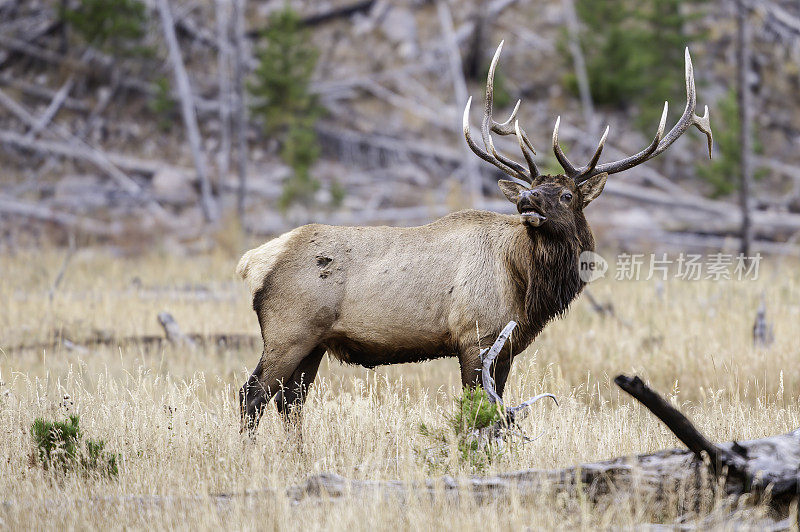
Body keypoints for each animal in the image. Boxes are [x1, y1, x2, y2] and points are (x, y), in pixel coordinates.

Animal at [238, 42, 712, 432]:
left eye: (565, 194)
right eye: (534, 188)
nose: (527, 200)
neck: (526, 286)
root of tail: (253, 261)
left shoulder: (508, 347)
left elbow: (498, 410)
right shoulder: (475, 337)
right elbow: (478, 412)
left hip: (314, 344)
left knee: (290, 402)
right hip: (289, 330)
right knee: (252, 394)